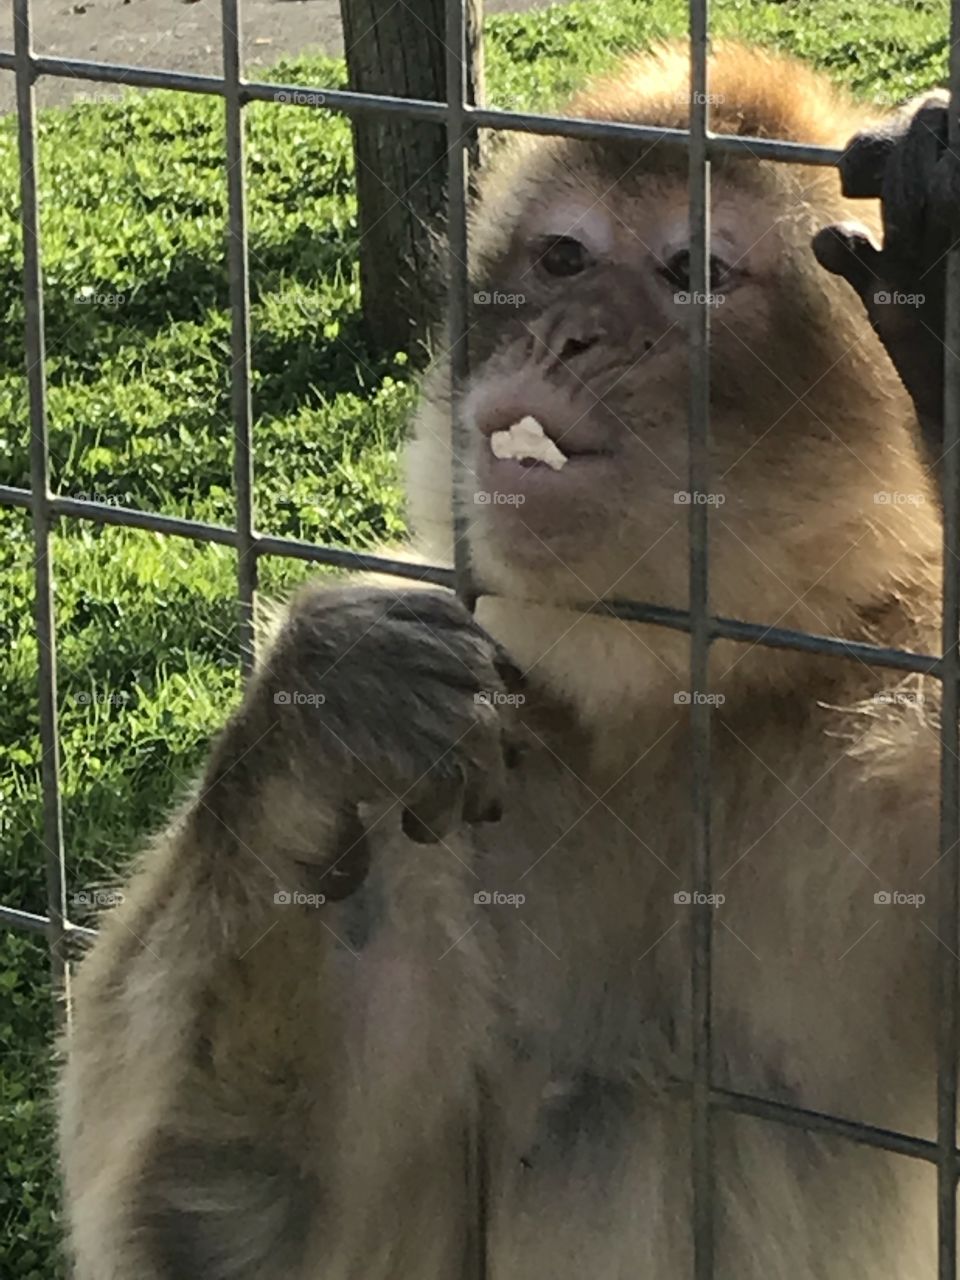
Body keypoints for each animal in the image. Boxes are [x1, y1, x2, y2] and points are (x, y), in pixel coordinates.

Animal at [59, 41, 957, 1279]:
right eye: (562, 257)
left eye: (694, 270)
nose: (567, 332)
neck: (658, 716)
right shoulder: (461, 754)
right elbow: (221, 1226)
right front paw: (327, 713)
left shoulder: (893, 700)